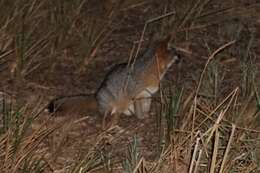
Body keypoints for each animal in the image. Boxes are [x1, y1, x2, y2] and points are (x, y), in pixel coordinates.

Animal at [47, 36, 181, 128]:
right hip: (112, 103)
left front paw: (146, 116)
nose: (181, 57)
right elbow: (139, 111)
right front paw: (141, 118)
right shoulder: (137, 96)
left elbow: (146, 107)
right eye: (175, 52)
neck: (151, 69)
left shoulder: (147, 95)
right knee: (106, 114)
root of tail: (95, 95)